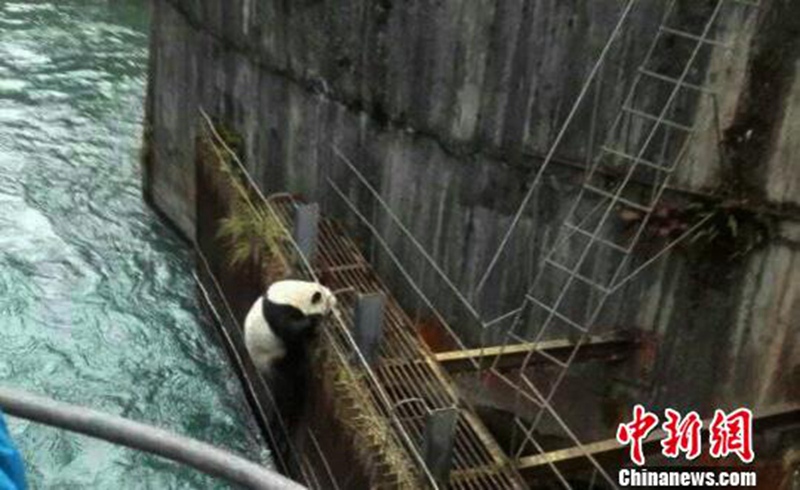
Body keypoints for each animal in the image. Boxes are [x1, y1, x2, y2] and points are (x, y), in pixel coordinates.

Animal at [243, 279, 337, 427]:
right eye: (330, 310)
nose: (335, 315)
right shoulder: (278, 310)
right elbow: (289, 329)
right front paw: (315, 321)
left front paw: (314, 332)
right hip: (272, 357)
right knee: (286, 384)